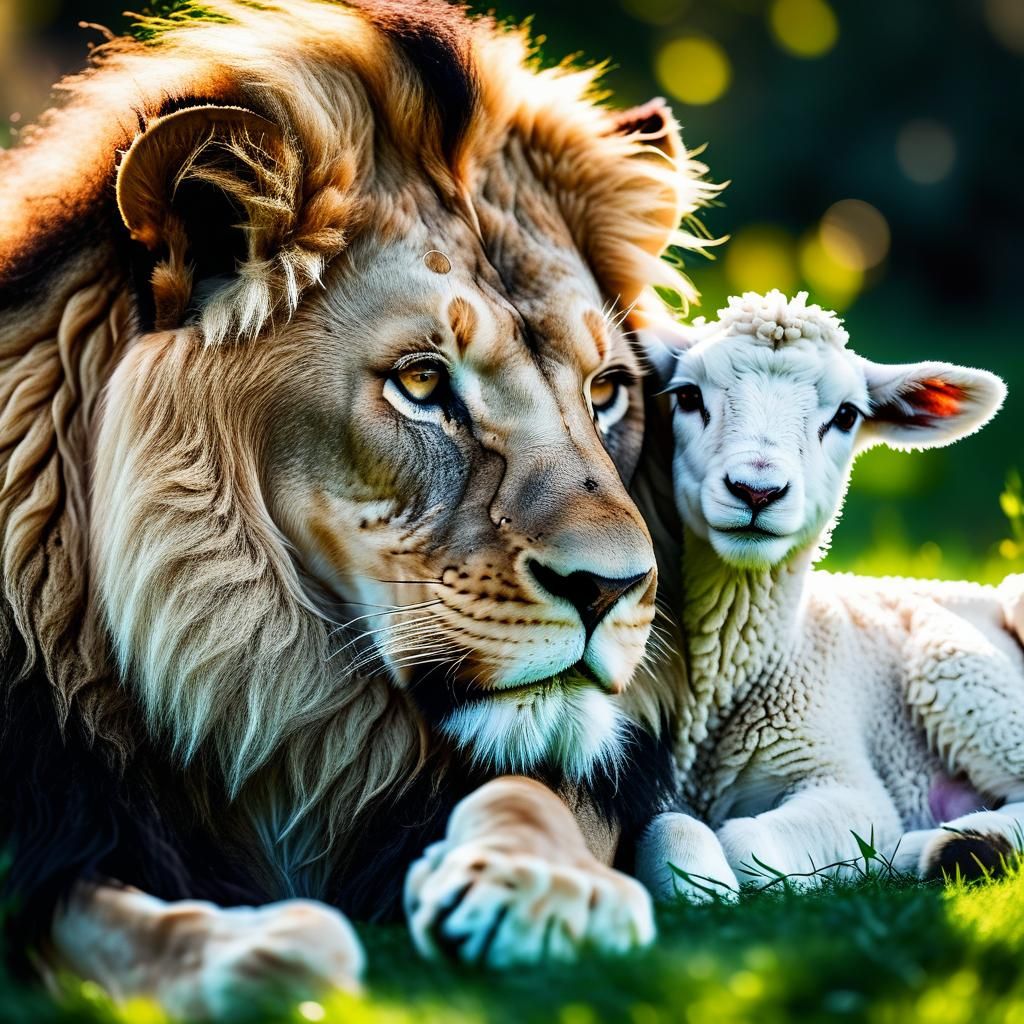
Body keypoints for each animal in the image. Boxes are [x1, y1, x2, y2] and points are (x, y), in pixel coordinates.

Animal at [0, 0, 711, 1012]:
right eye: (421, 383)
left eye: (606, 390)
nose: (612, 590)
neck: (274, 703)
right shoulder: (52, 827)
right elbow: (149, 928)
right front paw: (258, 948)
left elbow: (539, 790)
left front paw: (545, 888)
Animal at [634, 290, 1023, 903]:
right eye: (688, 396)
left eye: (845, 415)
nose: (757, 491)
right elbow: (669, 823)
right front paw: (692, 884)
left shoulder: (846, 780)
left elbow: (745, 843)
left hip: (958, 670)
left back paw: (956, 846)